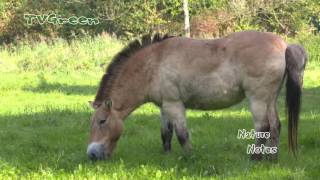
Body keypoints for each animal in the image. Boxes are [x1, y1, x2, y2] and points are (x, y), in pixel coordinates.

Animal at [86, 30, 306, 160]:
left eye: (102, 121)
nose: (92, 154)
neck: (154, 63)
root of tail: (283, 45)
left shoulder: (175, 105)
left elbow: (182, 134)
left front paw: (189, 158)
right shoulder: (164, 106)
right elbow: (166, 133)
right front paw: (167, 157)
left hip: (257, 99)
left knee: (263, 127)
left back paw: (254, 159)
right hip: (270, 99)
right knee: (275, 126)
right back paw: (271, 158)